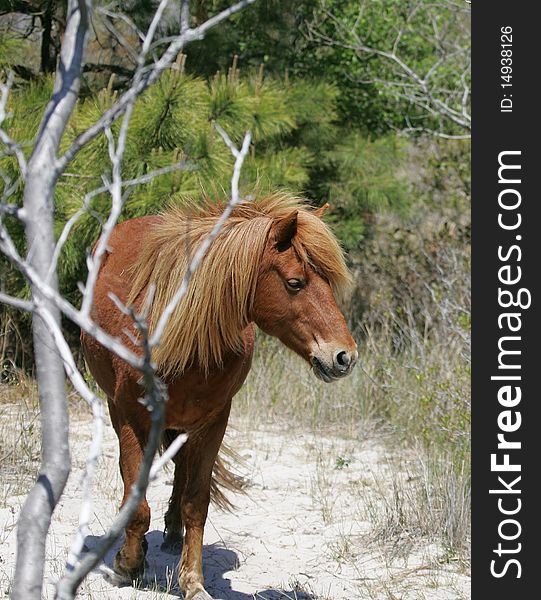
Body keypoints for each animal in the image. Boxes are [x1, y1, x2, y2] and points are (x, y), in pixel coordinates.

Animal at [80, 192, 356, 600]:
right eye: (295, 283)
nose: (344, 356)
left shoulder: (213, 422)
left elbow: (197, 503)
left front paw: (192, 581)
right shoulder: (128, 416)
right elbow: (136, 496)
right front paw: (127, 563)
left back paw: (172, 533)